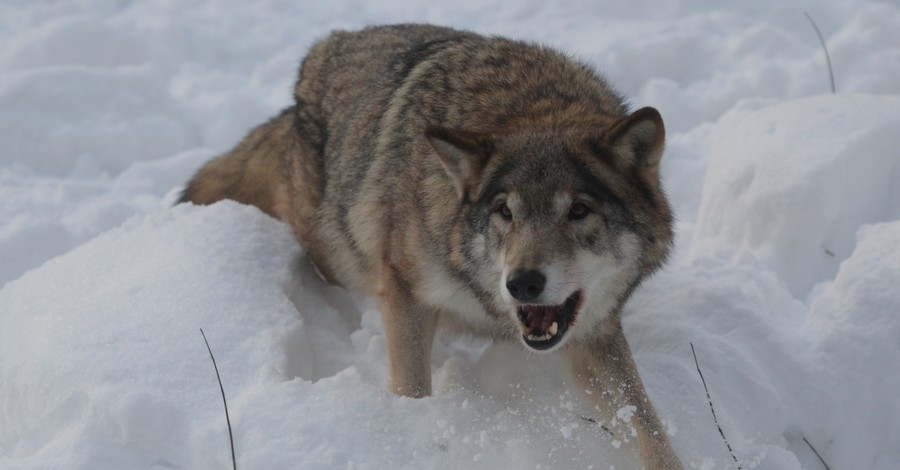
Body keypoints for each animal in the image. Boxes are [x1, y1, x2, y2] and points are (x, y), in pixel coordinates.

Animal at [181, 23, 684, 468]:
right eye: (505, 211)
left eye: (579, 211)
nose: (521, 283)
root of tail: (316, 59)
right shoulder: (408, 293)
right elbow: (413, 388)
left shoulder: (595, 333)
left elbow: (649, 429)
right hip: (337, 250)